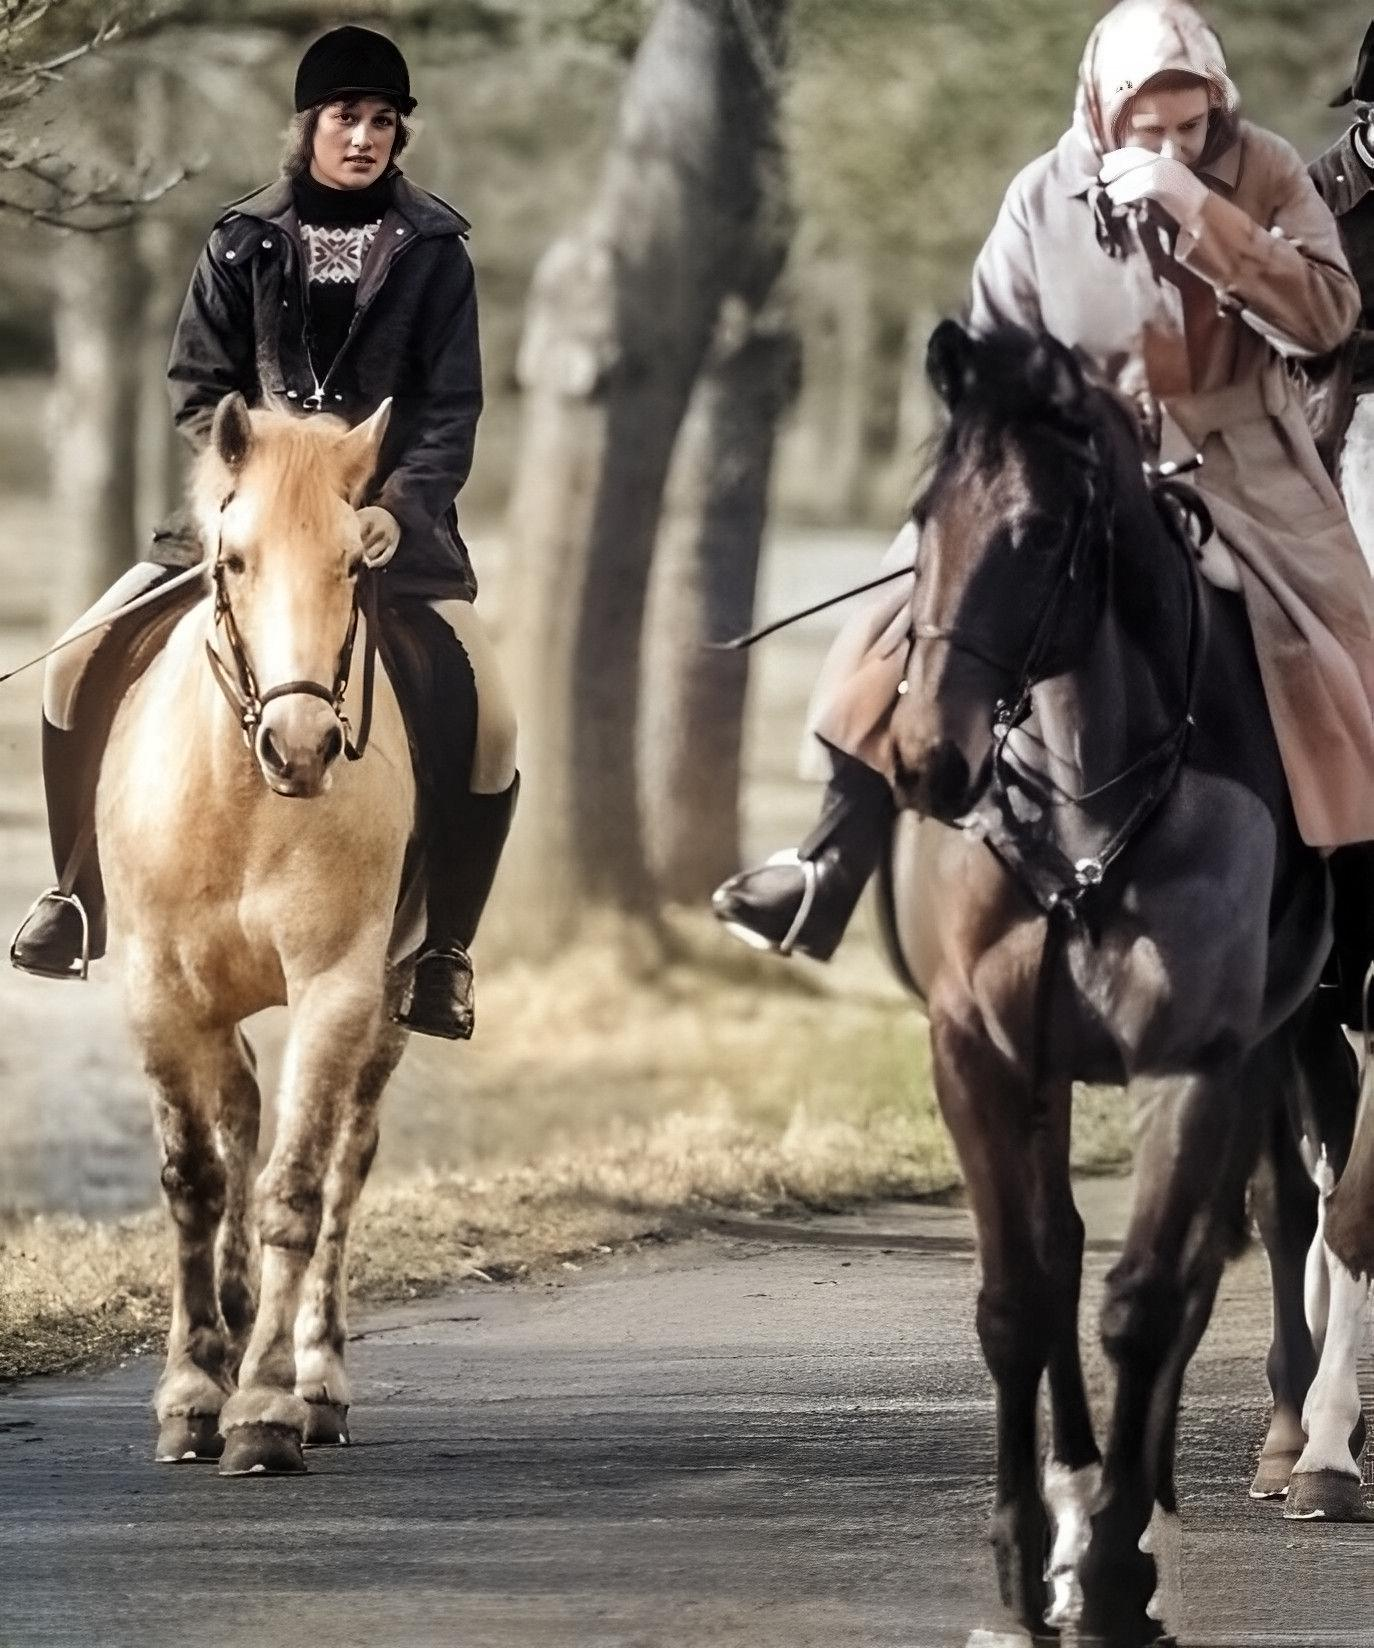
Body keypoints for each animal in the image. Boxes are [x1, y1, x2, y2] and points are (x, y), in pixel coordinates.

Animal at [97, 392, 421, 1476]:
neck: (242, 794)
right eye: (233, 561)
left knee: (346, 1158)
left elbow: (297, 1190)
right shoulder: (157, 992)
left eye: (356, 563)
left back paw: (316, 1376)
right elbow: (195, 1179)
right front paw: (193, 1388)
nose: (303, 745)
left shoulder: (337, 988)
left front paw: (268, 1401)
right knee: (234, 1110)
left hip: (390, 1006)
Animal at [882, 321, 1367, 1644]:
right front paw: (1026, 1562)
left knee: (1235, 1249)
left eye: (1043, 533)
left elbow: (1150, 1298)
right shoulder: (983, 1057)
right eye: (925, 516)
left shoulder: (1200, 1061)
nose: (930, 757)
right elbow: (1022, 1296)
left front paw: (1113, 1571)